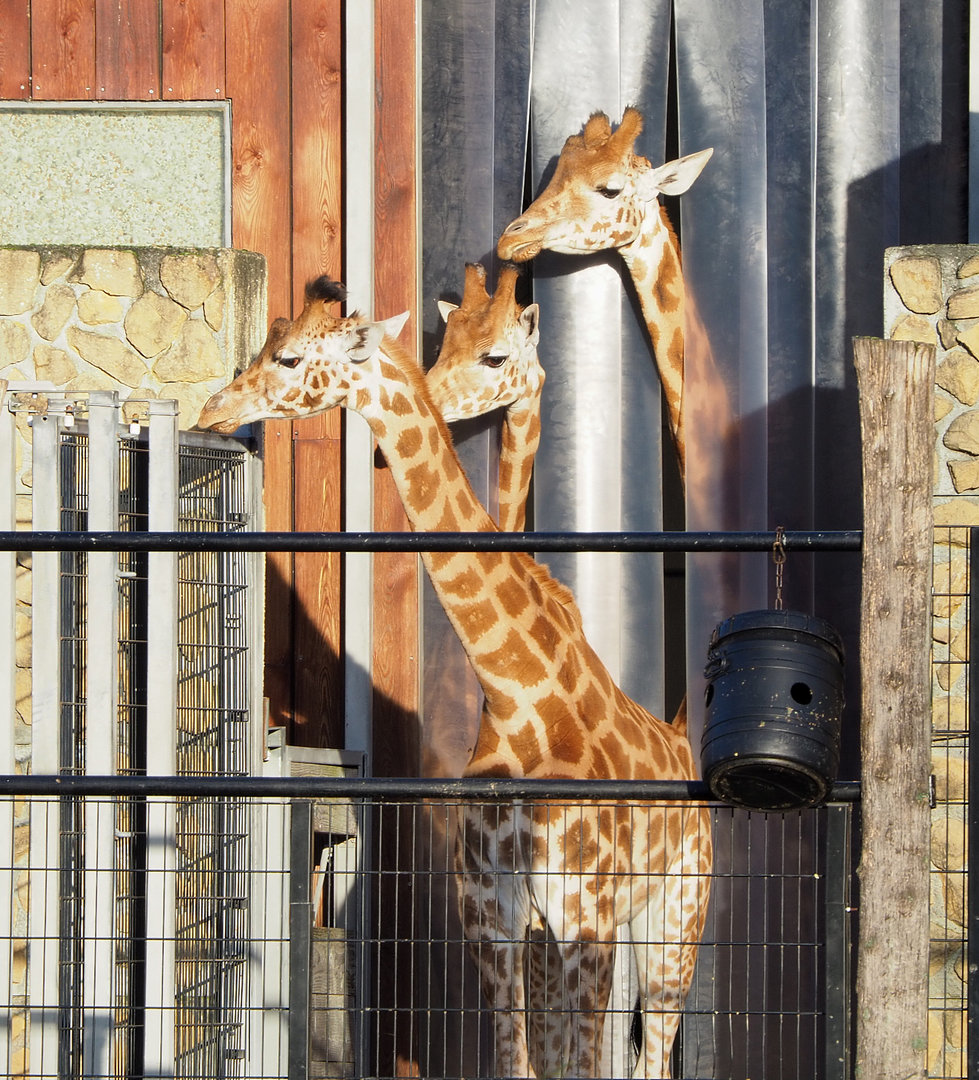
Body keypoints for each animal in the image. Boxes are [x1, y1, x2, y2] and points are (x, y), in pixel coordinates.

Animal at [198, 276, 712, 1079]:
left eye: (288, 357)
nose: (211, 410)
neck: (516, 691)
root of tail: (683, 741)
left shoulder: (584, 917)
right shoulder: (493, 916)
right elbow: (520, 1065)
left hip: (673, 919)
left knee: (650, 1055)